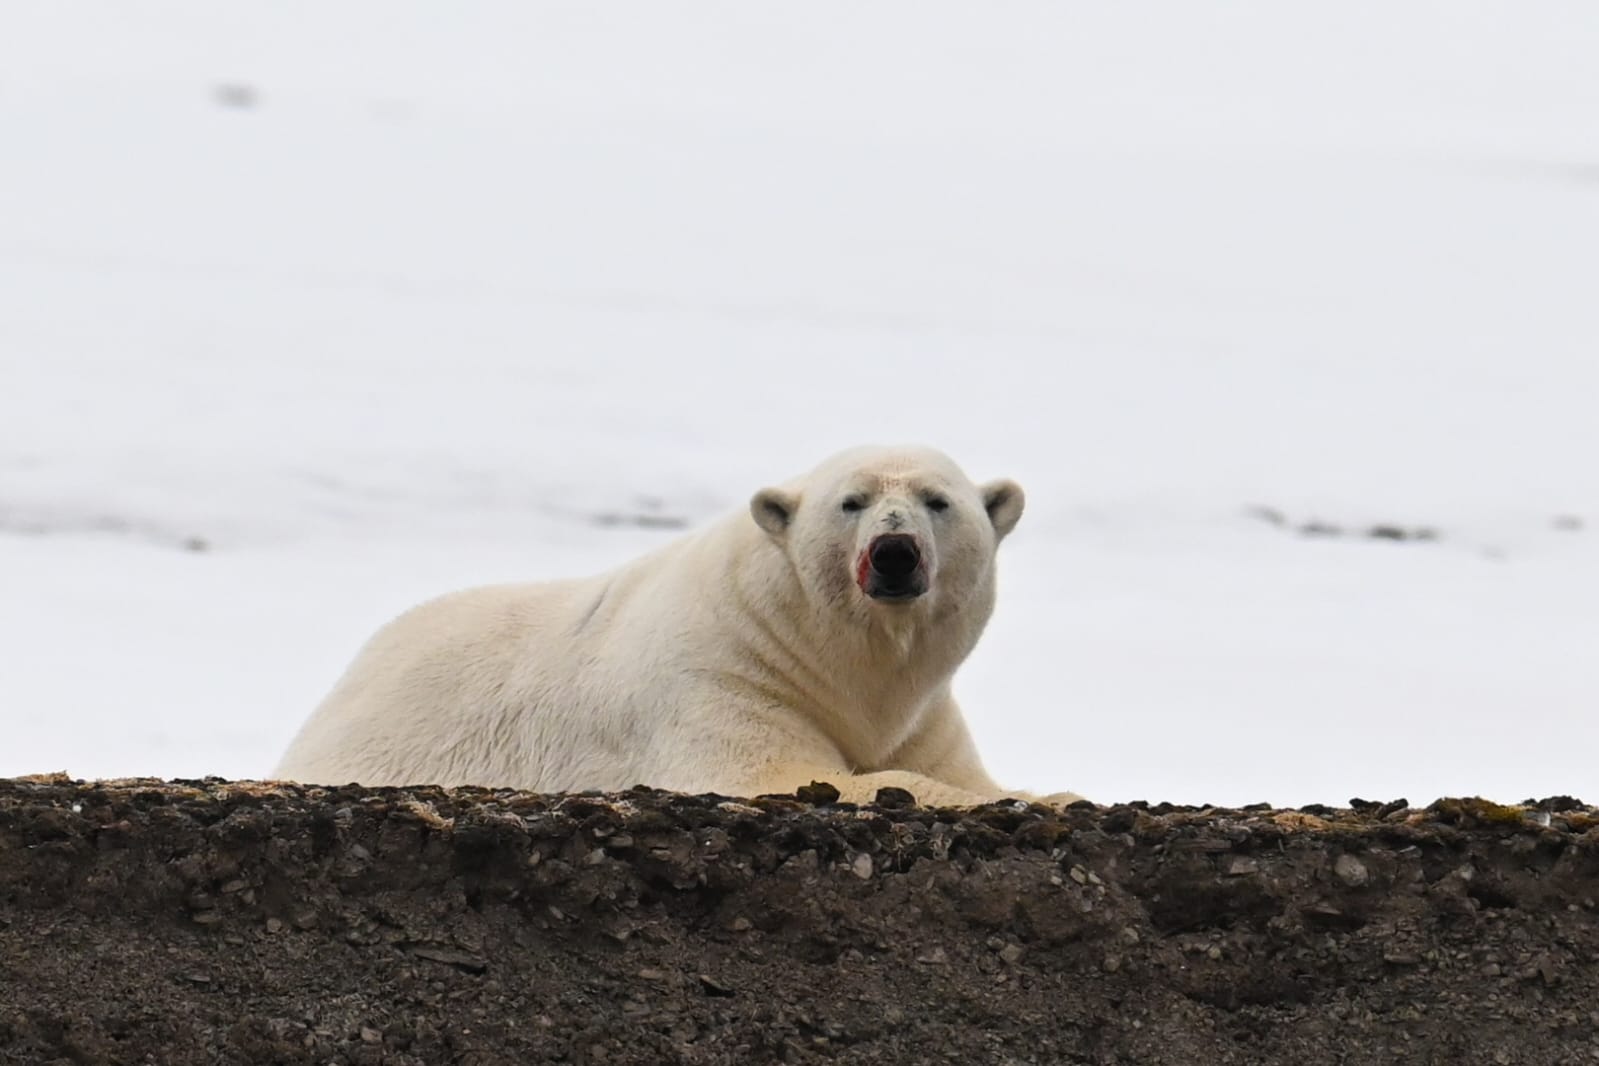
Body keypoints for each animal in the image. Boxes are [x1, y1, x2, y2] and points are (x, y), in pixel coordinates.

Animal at [273, 445, 1082, 808]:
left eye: (938, 501)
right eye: (850, 502)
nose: (893, 553)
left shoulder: (921, 714)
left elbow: (948, 767)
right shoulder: (722, 675)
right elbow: (779, 774)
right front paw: (1053, 799)